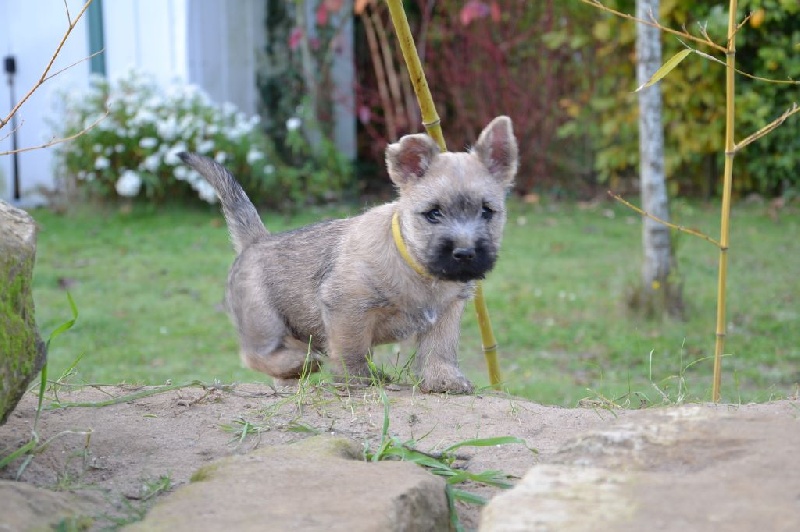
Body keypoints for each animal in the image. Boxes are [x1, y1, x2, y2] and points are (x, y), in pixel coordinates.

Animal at [180, 115, 520, 390]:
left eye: (487, 211)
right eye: (433, 213)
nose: (465, 253)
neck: (414, 265)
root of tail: (256, 241)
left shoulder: (448, 311)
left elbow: (440, 348)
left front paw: (443, 379)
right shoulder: (348, 308)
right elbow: (352, 348)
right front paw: (358, 379)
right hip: (262, 321)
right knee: (254, 355)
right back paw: (298, 361)